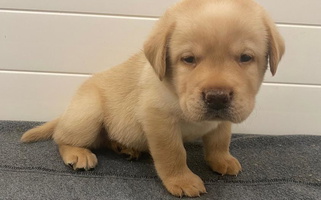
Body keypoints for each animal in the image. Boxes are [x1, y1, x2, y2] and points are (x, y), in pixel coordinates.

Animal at [21, 0, 284, 197]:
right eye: (188, 59)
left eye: (245, 57)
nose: (217, 98)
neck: (177, 94)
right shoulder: (158, 118)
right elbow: (173, 152)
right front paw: (182, 180)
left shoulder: (223, 120)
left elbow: (220, 140)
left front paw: (222, 159)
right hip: (88, 112)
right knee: (62, 137)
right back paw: (77, 153)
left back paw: (124, 147)